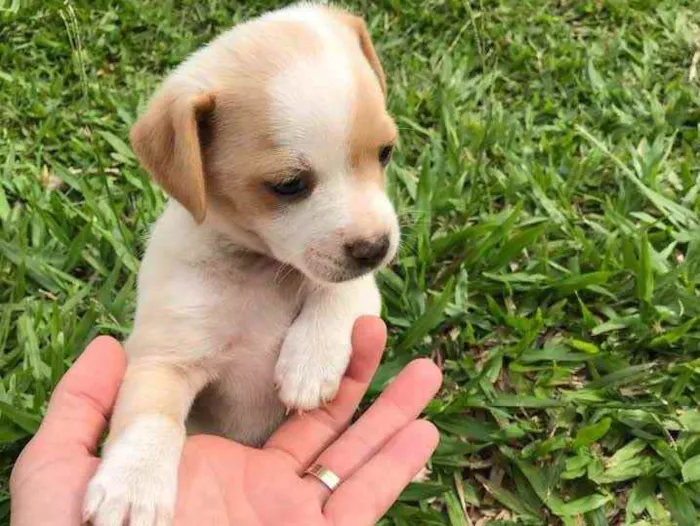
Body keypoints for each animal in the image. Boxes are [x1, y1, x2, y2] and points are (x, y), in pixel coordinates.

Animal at [83, 4, 400, 526]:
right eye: (289, 185)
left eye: (386, 153)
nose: (377, 247)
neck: (260, 268)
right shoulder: (165, 357)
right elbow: (151, 418)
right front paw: (132, 486)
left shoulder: (360, 284)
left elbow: (342, 289)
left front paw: (310, 361)